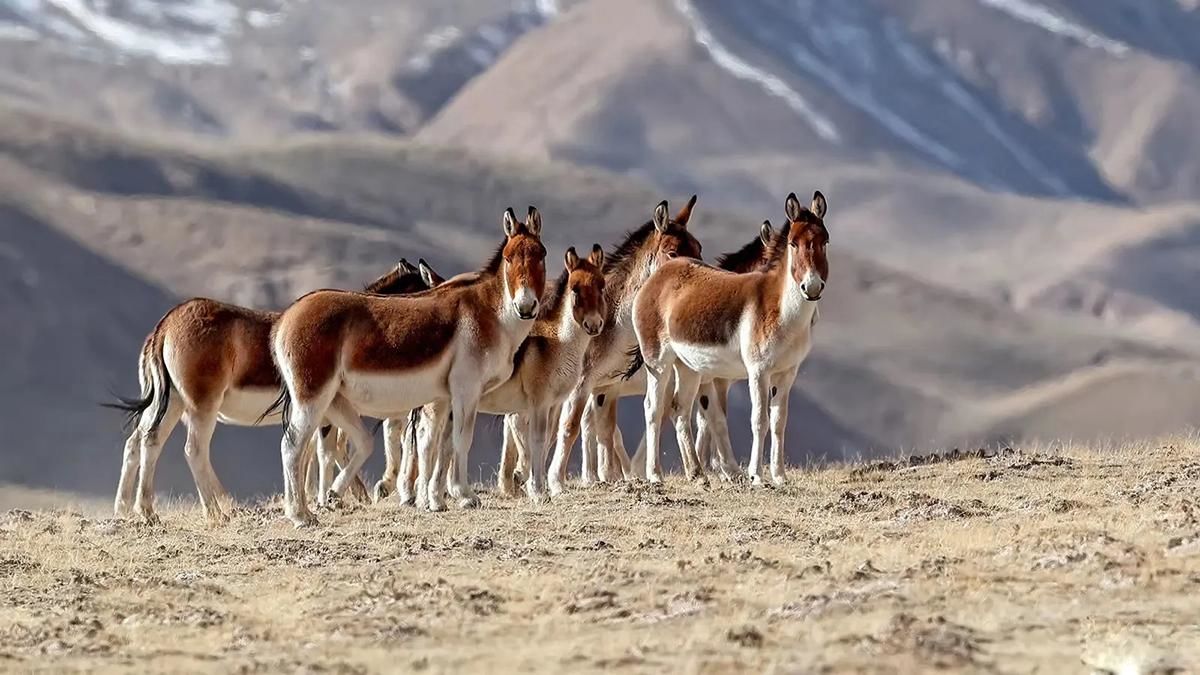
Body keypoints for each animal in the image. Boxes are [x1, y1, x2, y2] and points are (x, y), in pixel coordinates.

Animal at [270, 207, 547, 523]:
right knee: (292, 446)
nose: (525, 307)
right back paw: (300, 515)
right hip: (312, 397)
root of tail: (286, 318)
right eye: (509, 258)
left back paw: (321, 501)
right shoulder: (467, 389)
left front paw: (436, 500)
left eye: (541, 254)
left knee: (351, 442)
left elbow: (440, 444)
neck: (486, 311)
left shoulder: (444, 398)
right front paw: (465, 496)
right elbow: (461, 440)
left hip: (334, 400)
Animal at [638, 193, 825, 482]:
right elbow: (758, 421)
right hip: (657, 363)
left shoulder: (787, 373)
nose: (812, 287)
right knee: (653, 408)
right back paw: (655, 475)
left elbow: (778, 422)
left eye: (825, 241)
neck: (781, 308)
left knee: (679, 408)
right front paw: (756, 476)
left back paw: (697, 474)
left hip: (688, 366)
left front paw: (780, 476)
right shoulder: (758, 371)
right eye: (794, 243)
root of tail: (660, 274)